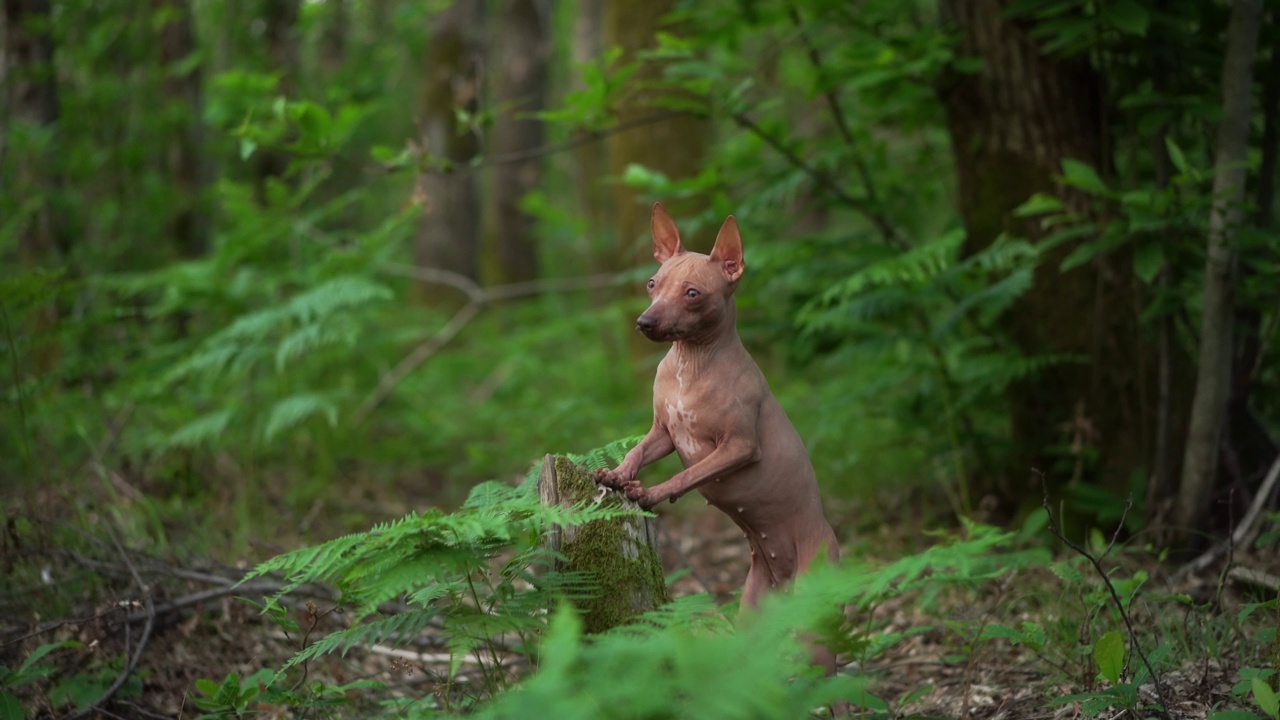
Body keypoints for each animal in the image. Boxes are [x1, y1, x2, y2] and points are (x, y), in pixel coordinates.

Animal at [596, 203, 844, 671]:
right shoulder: (664, 434)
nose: (645, 322)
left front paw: (650, 493)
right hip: (754, 611)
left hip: (815, 626)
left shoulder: (739, 447)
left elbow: (687, 477)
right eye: (653, 284)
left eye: (692, 293)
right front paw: (617, 474)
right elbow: (636, 451)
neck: (690, 364)